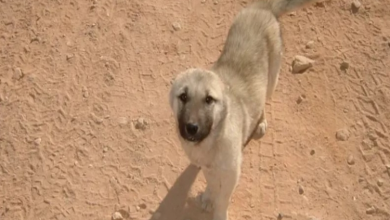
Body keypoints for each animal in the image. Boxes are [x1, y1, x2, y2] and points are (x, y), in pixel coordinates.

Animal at [169, 0, 318, 219]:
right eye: (183, 97)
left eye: (209, 99)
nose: (191, 127)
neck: (212, 140)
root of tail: (263, 8)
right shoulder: (208, 166)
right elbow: (211, 183)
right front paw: (208, 195)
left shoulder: (232, 174)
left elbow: (223, 199)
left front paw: (218, 211)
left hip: (271, 80)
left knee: (263, 100)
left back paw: (261, 122)